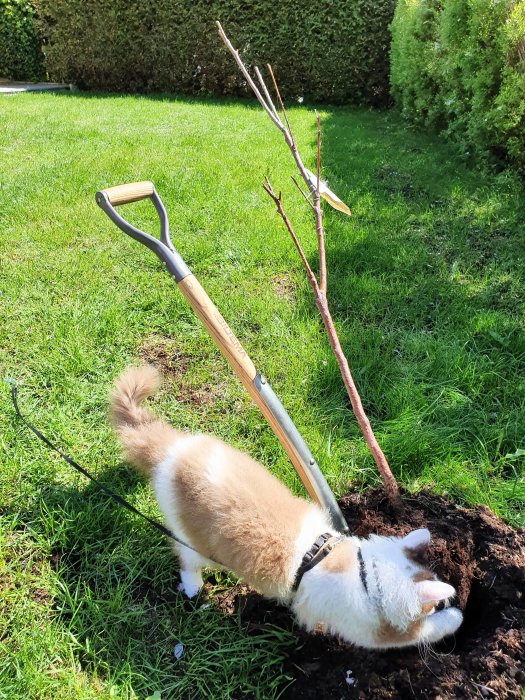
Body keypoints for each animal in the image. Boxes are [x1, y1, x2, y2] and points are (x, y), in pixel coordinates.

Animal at [108, 366, 460, 652]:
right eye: (434, 607)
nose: (448, 603)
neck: (363, 575)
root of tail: (172, 449)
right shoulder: (372, 632)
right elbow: (426, 631)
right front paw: (455, 615)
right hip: (194, 543)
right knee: (186, 561)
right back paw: (193, 589)